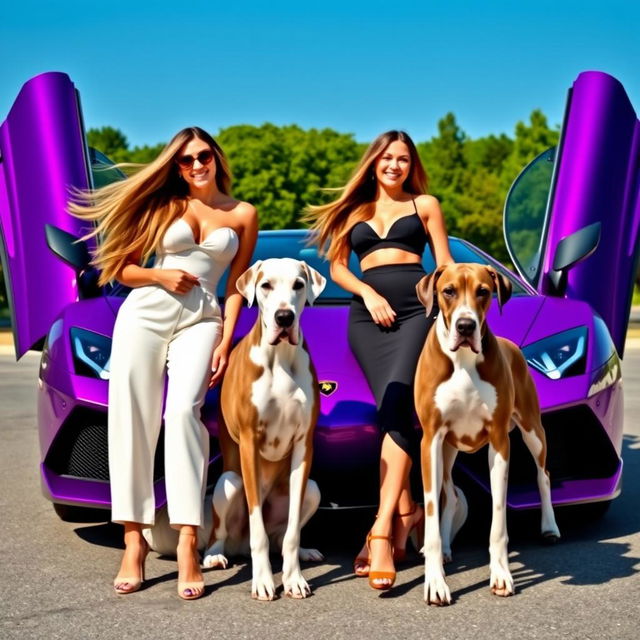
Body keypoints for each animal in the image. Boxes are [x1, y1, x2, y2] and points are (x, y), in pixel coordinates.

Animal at [204, 258, 328, 600]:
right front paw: (262, 581)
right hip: (229, 483)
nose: (284, 317)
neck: (280, 358)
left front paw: (293, 578)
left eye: (299, 285)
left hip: (314, 488)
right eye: (266, 285)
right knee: (222, 534)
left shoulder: (303, 445)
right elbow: (257, 531)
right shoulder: (249, 442)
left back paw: (304, 552)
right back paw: (214, 555)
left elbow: (291, 532)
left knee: (281, 537)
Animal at [416, 264, 560, 604]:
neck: (463, 361)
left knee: (543, 474)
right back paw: (446, 548)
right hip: (448, 451)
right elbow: (432, 512)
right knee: (450, 494)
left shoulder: (499, 441)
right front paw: (435, 580)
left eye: (483, 291)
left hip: (533, 430)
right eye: (448, 291)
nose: (466, 325)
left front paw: (501, 574)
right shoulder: (431, 441)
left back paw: (549, 526)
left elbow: (498, 519)